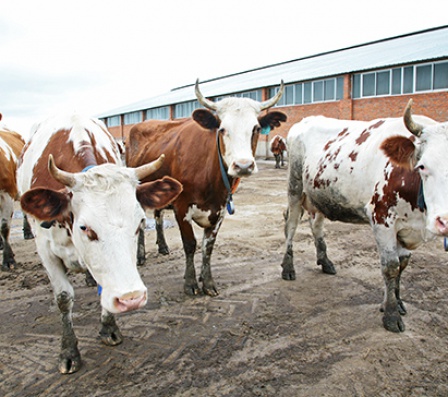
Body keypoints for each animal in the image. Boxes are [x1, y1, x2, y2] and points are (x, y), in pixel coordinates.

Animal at [17, 113, 182, 372]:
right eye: (85, 227)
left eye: (139, 223)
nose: (131, 298)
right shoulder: (45, 250)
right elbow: (63, 297)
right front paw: (69, 351)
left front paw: (109, 328)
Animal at [126, 80, 288, 296]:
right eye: (222, 129)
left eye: (255, 128)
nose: (243, 165)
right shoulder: (181, 207)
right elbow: (190, 244)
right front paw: (191, 283)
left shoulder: (219, 210)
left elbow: (208, 247)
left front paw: (208, 281)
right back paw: (141, 256)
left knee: (158, 217)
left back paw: (163, 246)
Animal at [280, 100, 448, 332]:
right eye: (422, 166)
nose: (444, 221)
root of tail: (305, 120)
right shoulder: (382, 219)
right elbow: (391, 267)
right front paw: (391, 314)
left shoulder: (407, 228)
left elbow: (402, 264)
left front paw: (396, 301)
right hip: (295, 187)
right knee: (291, 225)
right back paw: (288, 267)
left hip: (320, 194)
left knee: (316, 225)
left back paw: (325, 261)